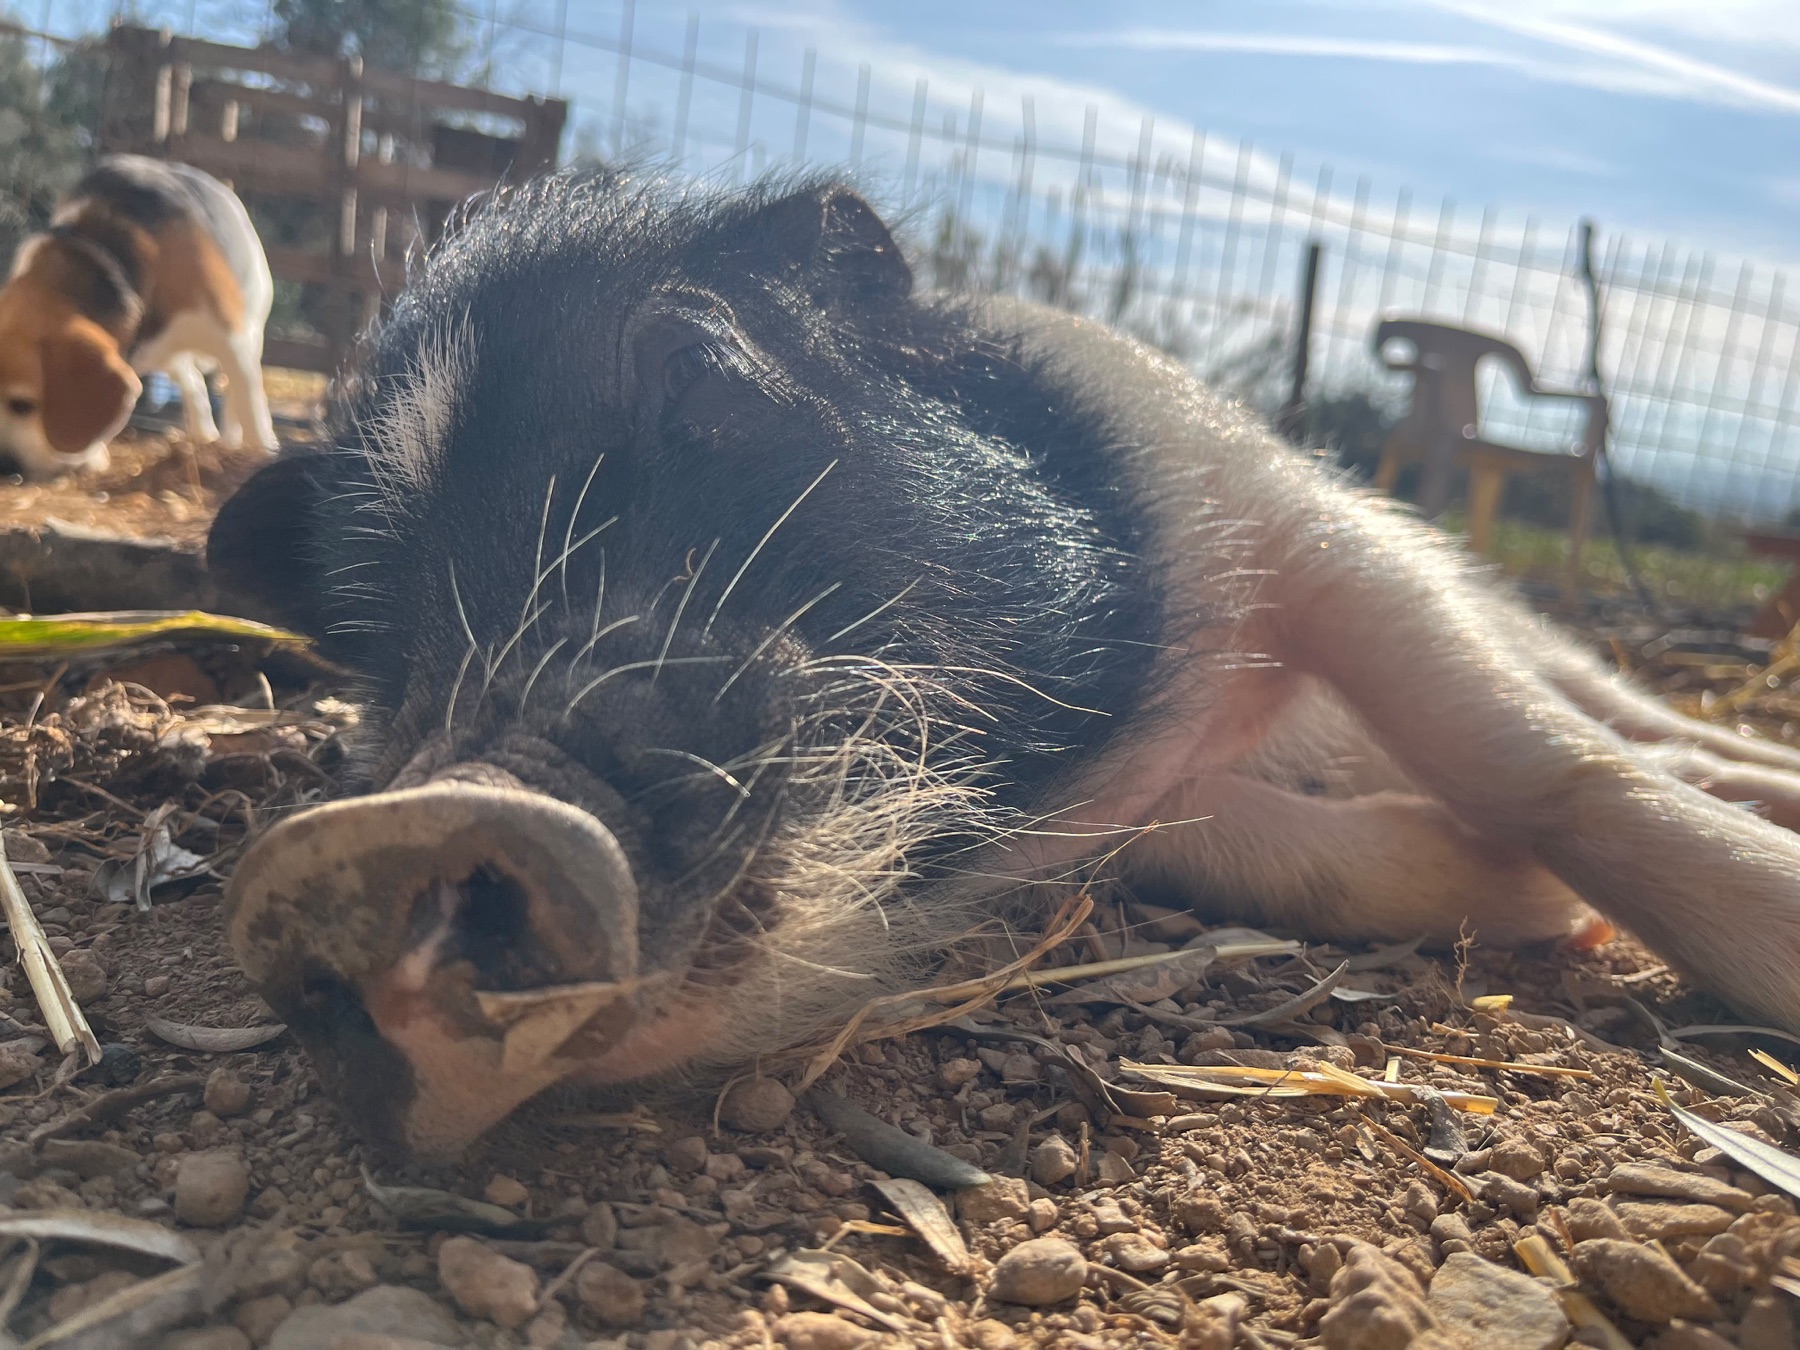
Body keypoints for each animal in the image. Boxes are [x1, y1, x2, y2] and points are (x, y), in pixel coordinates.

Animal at [207, 169, 1800, 1160]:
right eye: (378, 640)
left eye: (698, 371)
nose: (402, 821)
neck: (1168, 720)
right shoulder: (1150, 812)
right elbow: (1323, 860)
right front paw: (1527, 907)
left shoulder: (1286, 511)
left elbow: (1540, 764)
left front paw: (1692, 912)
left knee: (1612, 707)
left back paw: (1748, 771)